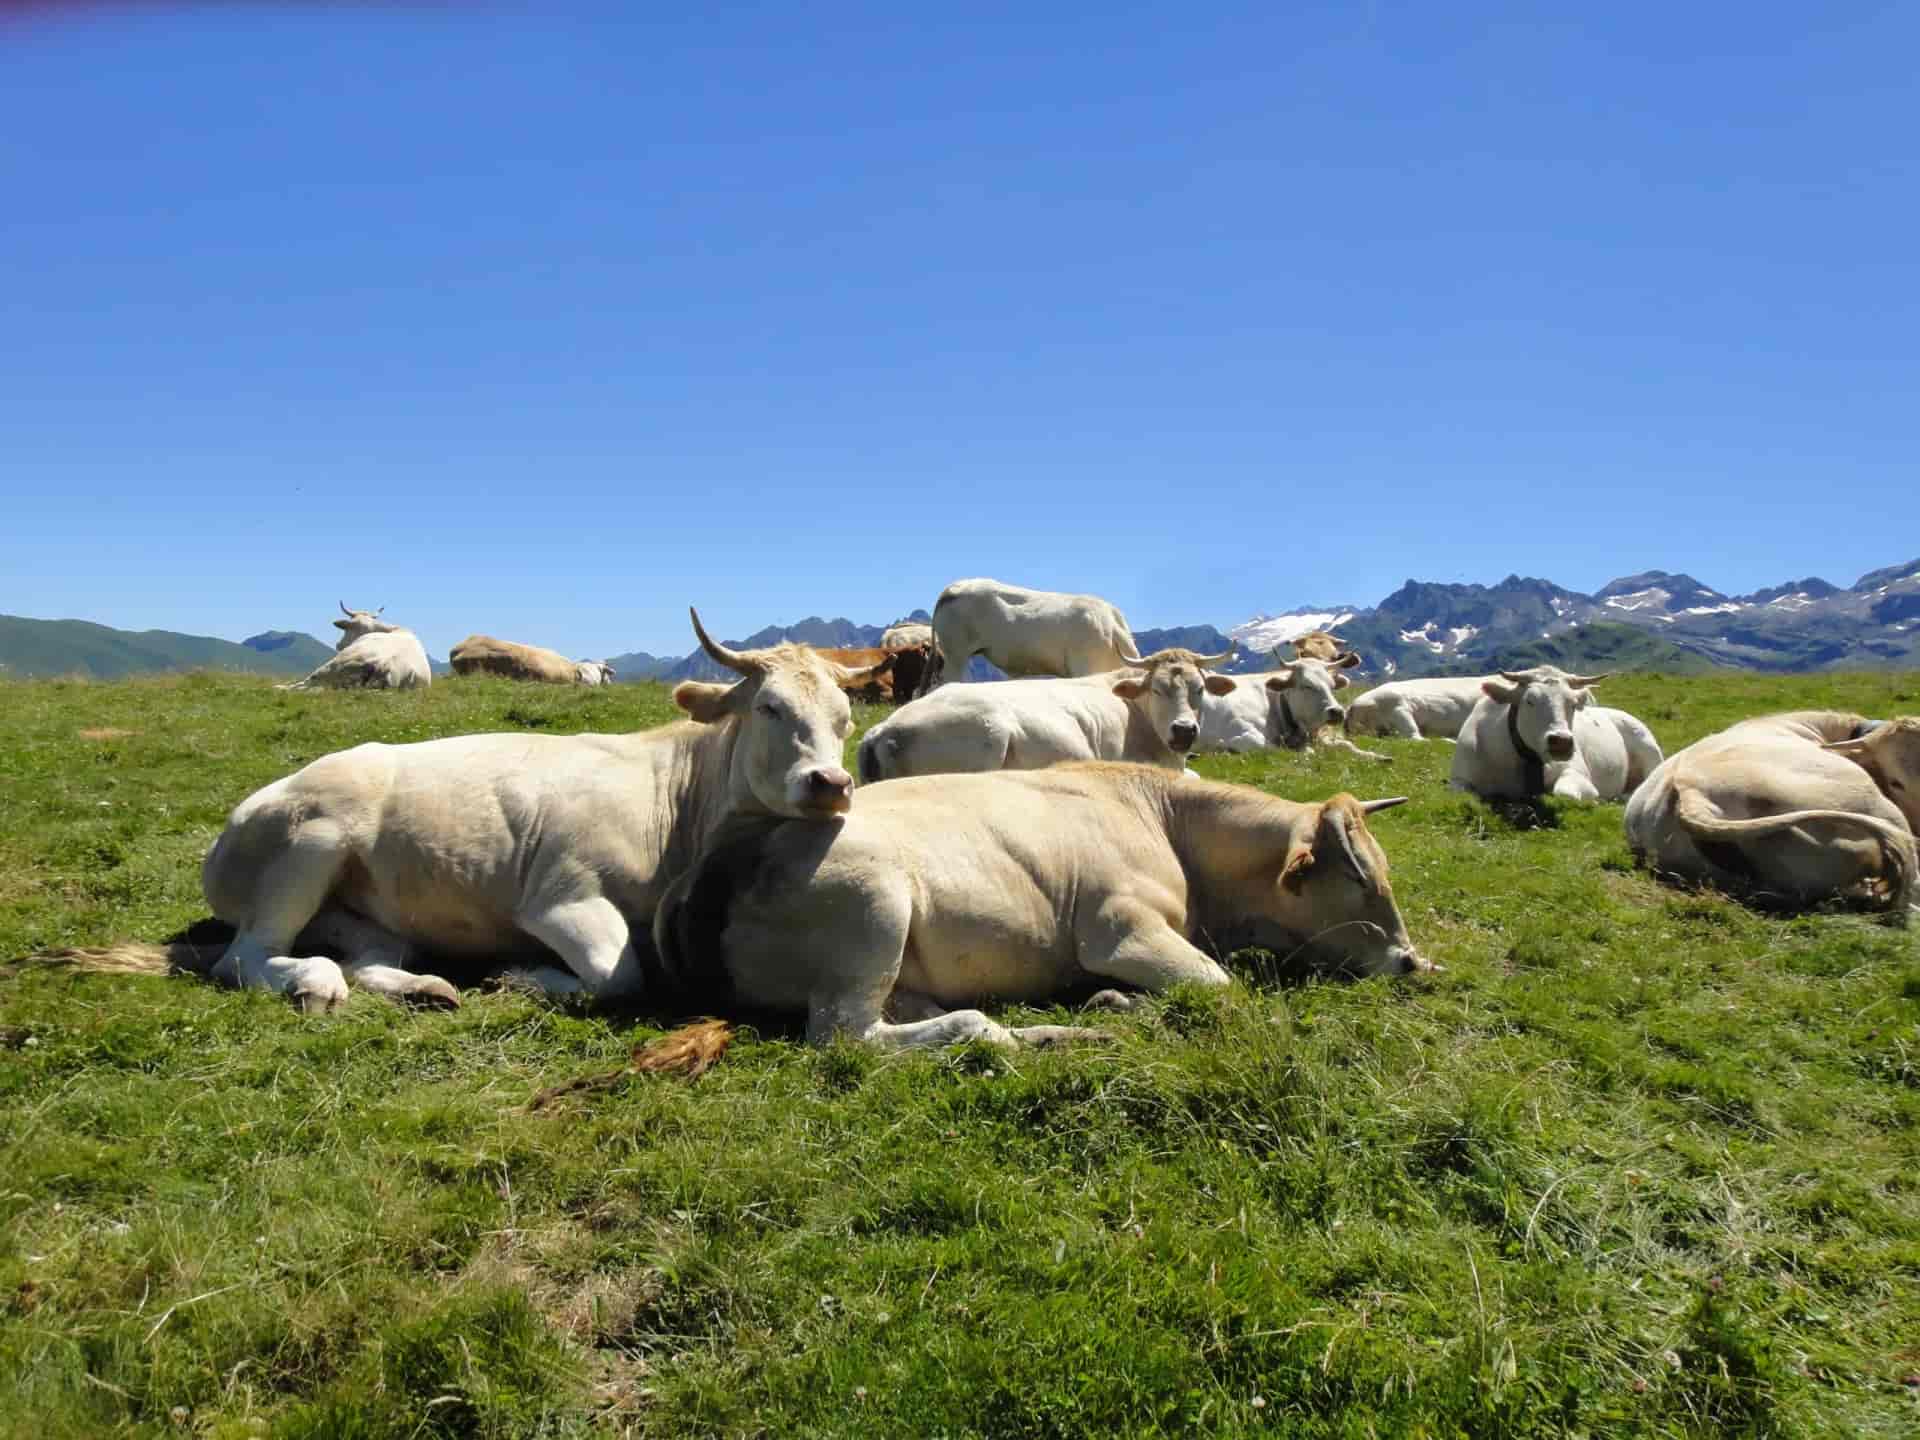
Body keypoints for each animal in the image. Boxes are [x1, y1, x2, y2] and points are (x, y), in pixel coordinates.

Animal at [279, 604, 431, 691]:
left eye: (347, 628)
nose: (338, 645)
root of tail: (383, 664)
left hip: (330, 666)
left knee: (303, 685)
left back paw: (280, 687)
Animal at [652, 763, 1431, 1050]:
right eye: (1361, 879)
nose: (1412, 961)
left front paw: (1113, 1004)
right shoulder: (1121, 932)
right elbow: (1220, 988)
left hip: (900, 966)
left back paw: (1061, 1032)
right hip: (874, 908)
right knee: (851, 1037)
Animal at [1197, 651, 1389, 762]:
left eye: (1332, 685)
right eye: (1306, 685)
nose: (1336, 711)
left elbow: (1347, 745)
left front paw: (1375, 756)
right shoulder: (1241, 735)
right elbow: (1295, 751)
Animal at [1451, 667, 1662, 803]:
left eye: (1573, 704)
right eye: (1529, 700)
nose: (1561, 741)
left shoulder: (1577, 772)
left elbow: (1564, 792)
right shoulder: (1459, 778)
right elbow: (1464, 793)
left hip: (1650, 752)